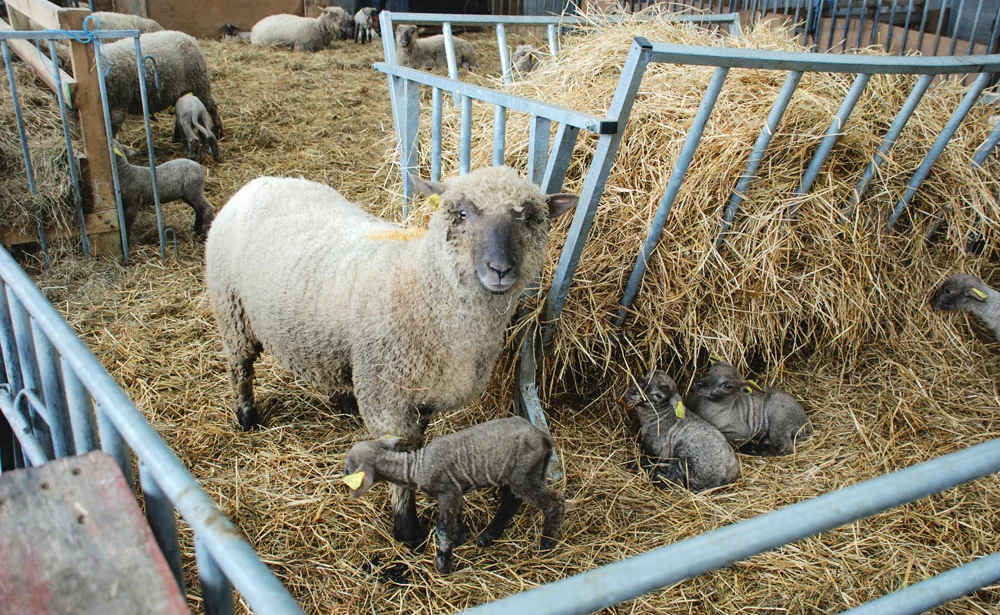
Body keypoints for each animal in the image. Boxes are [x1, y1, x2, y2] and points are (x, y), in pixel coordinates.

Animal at [204, 168, 580, 548]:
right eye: (461, 214)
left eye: (530, 218)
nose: (500, 269)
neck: (424, 289)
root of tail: (261, 181)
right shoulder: (389, 400)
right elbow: (399, 461)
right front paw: (408, 530)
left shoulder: (419, 395)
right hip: (232, 313)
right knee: (240, 368)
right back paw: (247, 417)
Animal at [342, 416, 564, 576]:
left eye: (348, 467)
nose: (343, 475)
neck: (416, 466)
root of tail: (543, 438)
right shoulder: (456, 492)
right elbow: (455, 519)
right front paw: (459, 539)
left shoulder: (447, 492)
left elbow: (442, 529)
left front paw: (444, 564)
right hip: (516, 474)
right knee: (511, 501)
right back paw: (487, 536)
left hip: (524, 475)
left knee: (554, 501)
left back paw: (547, 544)